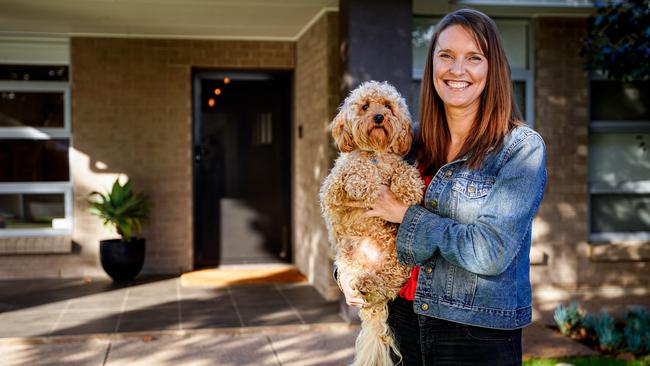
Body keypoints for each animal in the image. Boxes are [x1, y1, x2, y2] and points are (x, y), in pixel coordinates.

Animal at [320, 81, 422, 364]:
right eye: (365, 106)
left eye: (387, 106)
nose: (378, 117)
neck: (376, 154)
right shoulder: (331, 192)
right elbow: (354, 169)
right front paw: (363, 183)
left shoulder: (395, 163)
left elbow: (403, 170)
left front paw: (409, 187)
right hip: (349, 260)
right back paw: (364, 285)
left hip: (398, 257)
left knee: (387, 283)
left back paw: (370, 285)